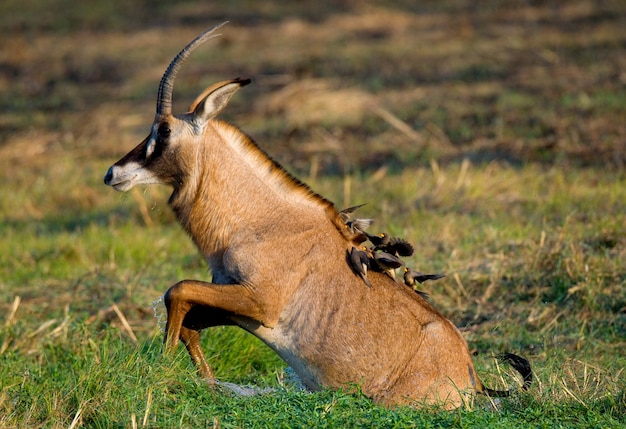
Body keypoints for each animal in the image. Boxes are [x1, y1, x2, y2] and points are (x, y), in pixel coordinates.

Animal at [103, 23, 532, 408]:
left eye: (163, 131)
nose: (113, 173)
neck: (260, 221)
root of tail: (471, 379)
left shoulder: (259, 302)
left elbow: (177, 291)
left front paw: (163, 370)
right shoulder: (237, 301)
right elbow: (190, 317)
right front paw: (205, 383)